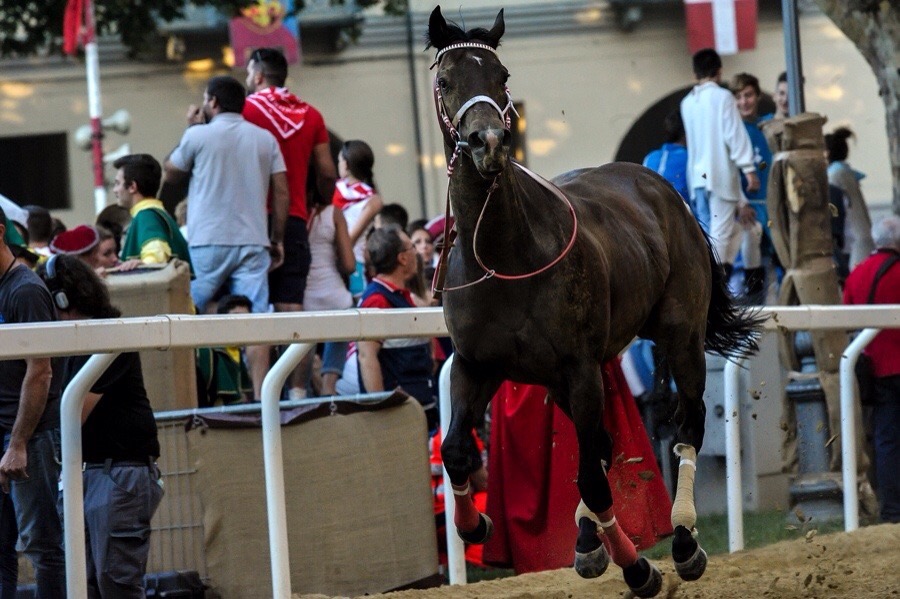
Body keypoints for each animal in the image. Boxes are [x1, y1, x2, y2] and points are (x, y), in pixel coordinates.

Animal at [428, 5, 760, 599]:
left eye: (502, 76)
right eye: (446, 80)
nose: (489, 141)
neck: (504, 253)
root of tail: (660, 186)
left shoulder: (578, 366)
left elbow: (592, 475)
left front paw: (640, 567)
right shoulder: (478, 363)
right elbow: (457, 449)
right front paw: (476, 523)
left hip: (679, 332)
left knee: (687, 422)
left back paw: (682, 539)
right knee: (602, 442)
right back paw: (587, 539)